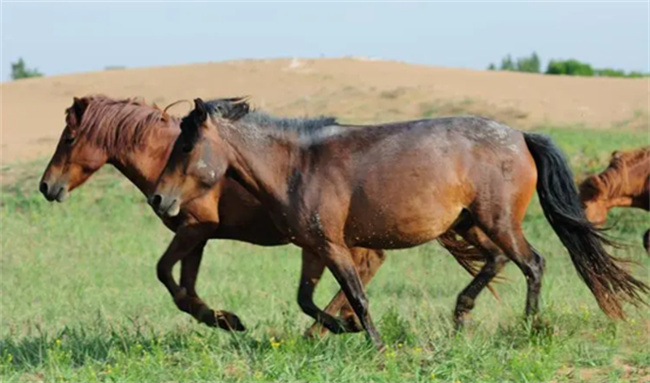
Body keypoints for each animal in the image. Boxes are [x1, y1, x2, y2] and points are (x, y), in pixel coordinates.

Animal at [39, 95, 486, 336]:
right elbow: (184, 285)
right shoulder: (198, 235)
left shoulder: (195, 229)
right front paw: (221, 319)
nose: (46, 186)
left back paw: (329, 328)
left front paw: (224, 320)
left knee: (363, 269)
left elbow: (166, 274)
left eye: (70, 137)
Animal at [149, 97, 644, 350]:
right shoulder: (314, 246)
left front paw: (374, 343)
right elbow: (306, 300)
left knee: (533, 263)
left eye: (186, 145)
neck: (297, 165)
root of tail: (521, 136)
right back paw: (461, 315)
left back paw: (528, 327)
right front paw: (343, 329)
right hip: (470, 224)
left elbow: (357, 296)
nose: (159, 197)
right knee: (499, 261)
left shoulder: (334, 246)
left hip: (498, 220)